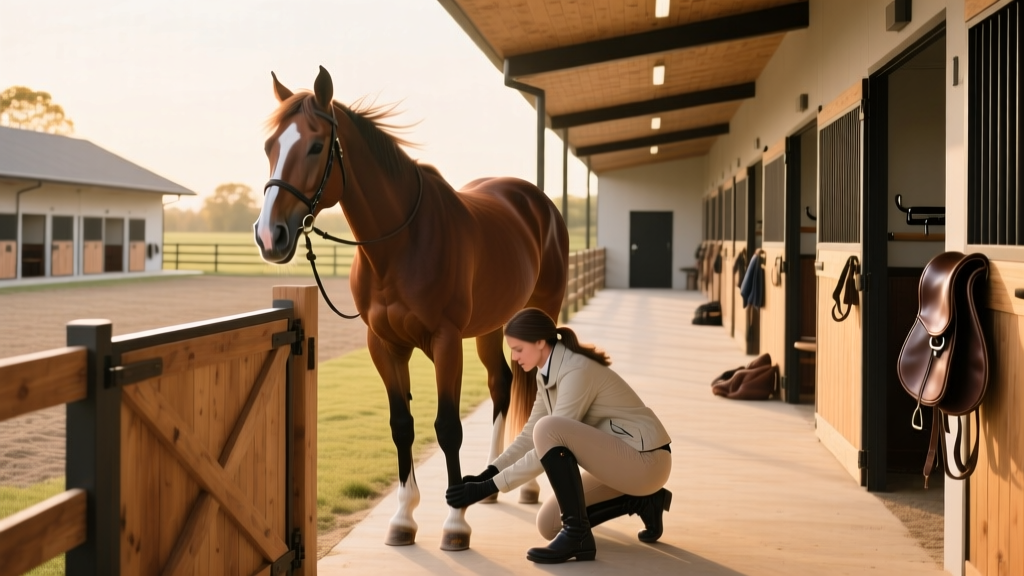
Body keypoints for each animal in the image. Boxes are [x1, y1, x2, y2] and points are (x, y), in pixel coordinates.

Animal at [254, 66, 569, 550]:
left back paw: (530, 487)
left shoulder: (446, 343)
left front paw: (456, 523)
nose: (270, 235)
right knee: (501, 384)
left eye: (315, 145)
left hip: (541, 313)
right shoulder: (384, 345)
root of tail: (536, 202)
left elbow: (448, 427)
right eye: (271, 146)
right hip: (492, 326)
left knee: (531, 391)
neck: (401, 244)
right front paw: (403, 518)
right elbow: (401, 424)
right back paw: (491, 484)